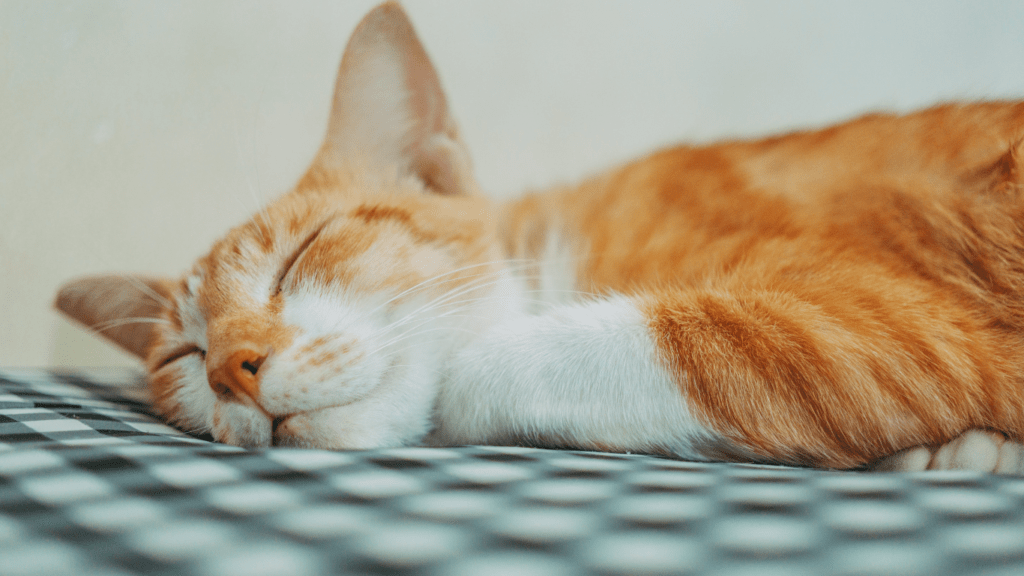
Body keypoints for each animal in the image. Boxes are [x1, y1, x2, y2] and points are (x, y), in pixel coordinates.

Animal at [54, 2, 1024, 473]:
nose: (231, 369)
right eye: (185, 356)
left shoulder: (891, 325)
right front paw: (951, 456)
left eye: (302, 254)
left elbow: (484, 368)